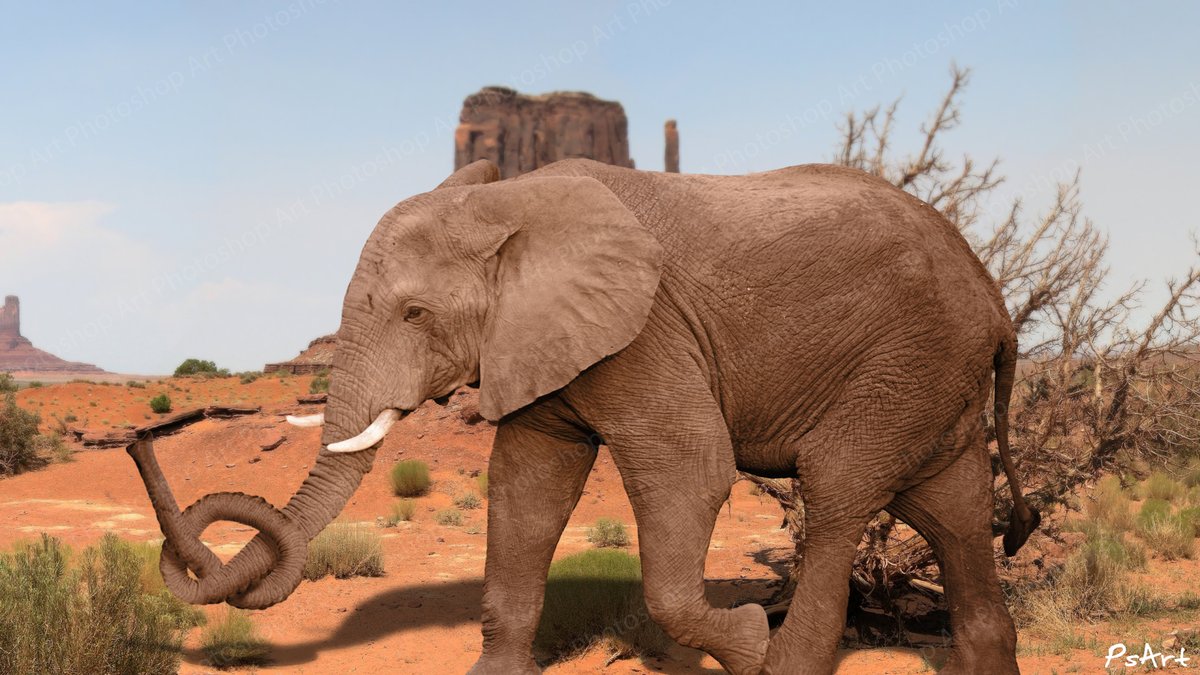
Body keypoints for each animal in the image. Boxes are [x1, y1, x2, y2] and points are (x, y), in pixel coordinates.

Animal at [129, 157, 1040, 675]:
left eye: (416, 314)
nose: (140, 438)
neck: (508, 202)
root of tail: (996, 300)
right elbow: (525, 487)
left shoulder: (647, 328)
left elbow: (690, 468)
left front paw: (745, 640)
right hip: (932, 383)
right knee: (956, 518)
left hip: (905, 364)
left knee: (841, 488)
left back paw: (782, 657)